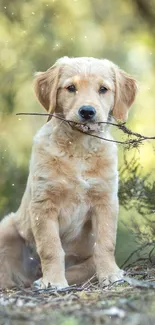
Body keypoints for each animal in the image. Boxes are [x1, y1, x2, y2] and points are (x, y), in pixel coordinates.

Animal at [0, 57, 137, 288]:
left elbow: (106, 243)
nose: (87, 111)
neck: (79, 148)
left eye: (103, 89)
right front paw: (54, 281)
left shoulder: (106, 200)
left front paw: (110, 274)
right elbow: (51, 247)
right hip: (7, 228)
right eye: (71, 88)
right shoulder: (43, 204)